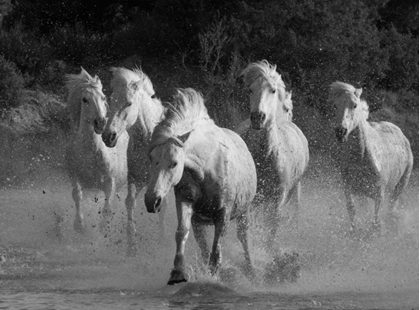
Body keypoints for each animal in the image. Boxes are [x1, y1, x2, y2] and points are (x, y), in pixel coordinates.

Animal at [64, 67, 128, 232]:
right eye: (84, 99)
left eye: (103, 97)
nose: (100, 123)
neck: (89, 153)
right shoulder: (75, 177)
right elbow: (77, 195)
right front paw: (79, 225)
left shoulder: (110, 181)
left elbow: (107, 208)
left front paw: (104, 226)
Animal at [101, 66, 167, 256]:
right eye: (111, 101)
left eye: (129, 103)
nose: (108, 136)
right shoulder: (134, 179)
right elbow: (130, 202)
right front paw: (131, 246)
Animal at [144, 88, 256, 284]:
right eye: (151, 158)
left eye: (174, 163)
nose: (152, 200)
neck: (205, 168)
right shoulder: (185, 202)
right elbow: (182, 232)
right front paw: (177, 273)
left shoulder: (223, 214)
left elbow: (216, 249)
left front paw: (213, 277)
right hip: (200, 223)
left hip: (244, 212)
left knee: (244, 238)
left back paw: (250, 271)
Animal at [236, 61, 308, 254]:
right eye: (250, 89)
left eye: (273, 90)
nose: (258, 117)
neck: (266, 156)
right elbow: (245, 231)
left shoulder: (278, 199)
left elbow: (271, 230)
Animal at [328, 81, 414, 231]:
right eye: (334, 105)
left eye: (354, 105)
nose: (341, 131)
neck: (362, 157)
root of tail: (401, 134)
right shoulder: (348, 190)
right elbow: (352, 210)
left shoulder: (379, 195)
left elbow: (376, 222)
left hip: (401, 185)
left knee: (391, 207)